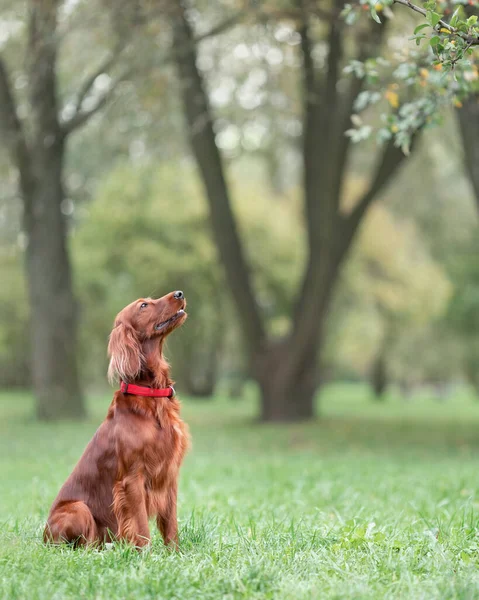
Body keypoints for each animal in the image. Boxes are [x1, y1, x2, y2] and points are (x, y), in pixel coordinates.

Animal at [42, 290, 189, 548]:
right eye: (143, 306)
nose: (179, 293)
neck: (150, 395)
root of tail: (43, 536)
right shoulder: (133, 478)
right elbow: (140, 524)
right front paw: (146, 554)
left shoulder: (169, 476)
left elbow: (170, 523)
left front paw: (175, 553)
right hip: (79, 509)